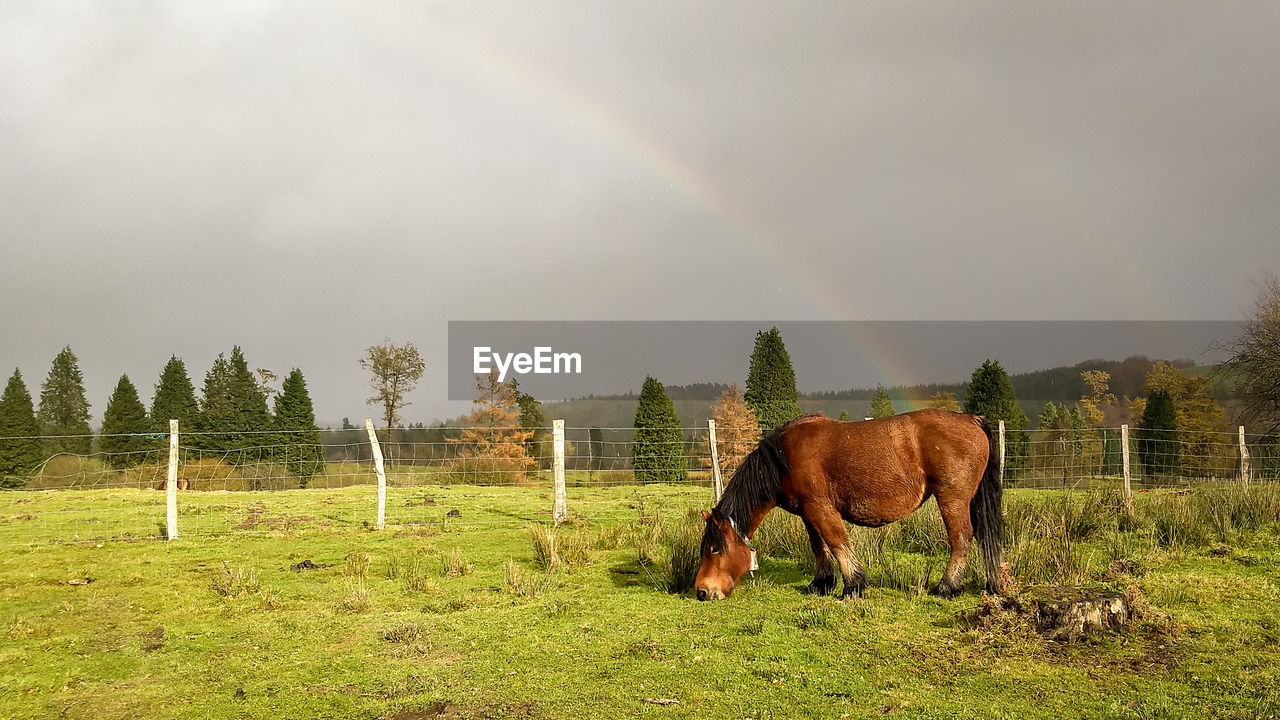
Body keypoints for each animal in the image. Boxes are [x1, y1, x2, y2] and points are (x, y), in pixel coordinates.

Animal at [696, 409, 1003, 599]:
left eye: (713, 549)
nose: (701, 592)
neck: (783, 459)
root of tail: (972, 420)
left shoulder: (820, 508)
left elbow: (837, 542)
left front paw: (853, 586)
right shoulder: (808, 513)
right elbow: (819, 547)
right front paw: (821, 584)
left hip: (952, 499)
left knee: (961, 538)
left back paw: (947, 587)